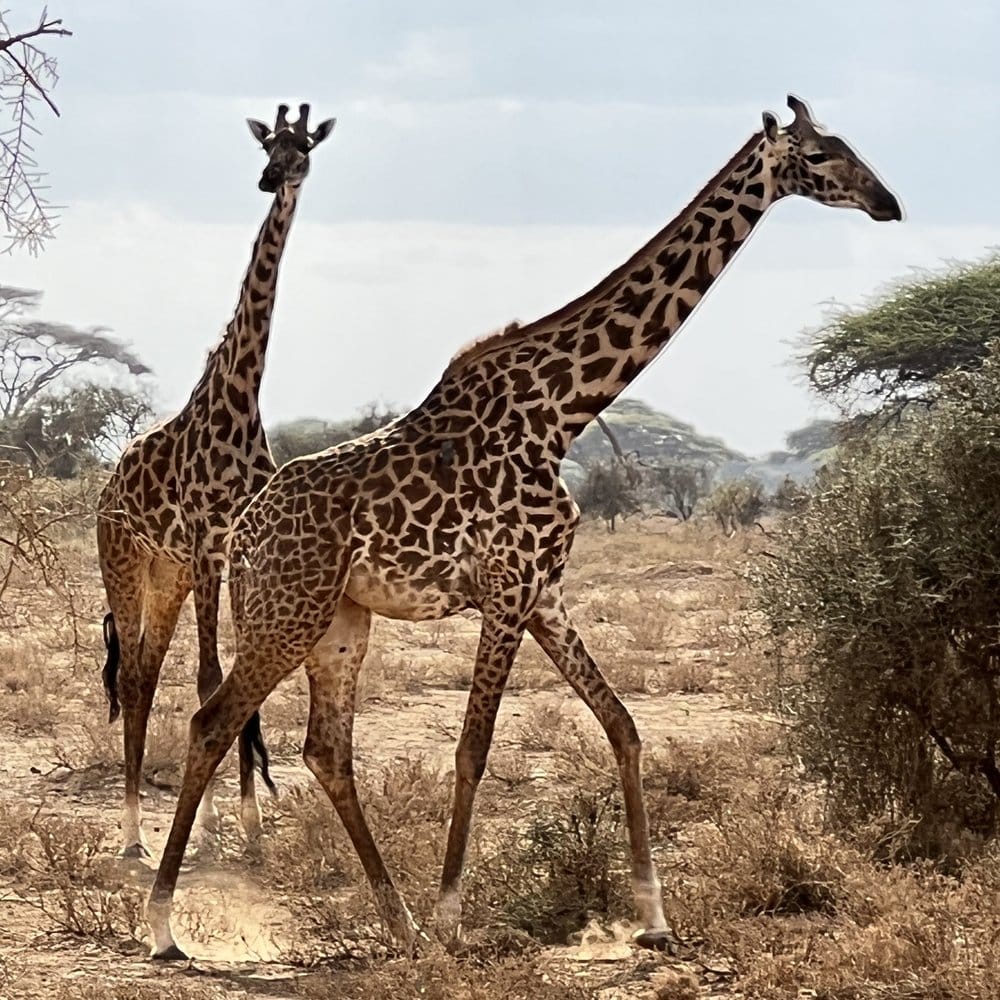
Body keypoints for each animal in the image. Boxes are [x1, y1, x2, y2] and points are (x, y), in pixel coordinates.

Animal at [97, 103, 335, 858]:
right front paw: (205, 828)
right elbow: (208, 678)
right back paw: (131, 833)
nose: (270, 180)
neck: (241, 392)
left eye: (302, 148)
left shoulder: (234, 547)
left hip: (167, 574)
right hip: (123, 561)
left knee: (145, 672)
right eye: (267, 147)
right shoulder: (207, 540)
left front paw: (250, 828)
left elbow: (231, 685)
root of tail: (105, 493)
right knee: (134, 677)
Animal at [147, 95, 901, 959]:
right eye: (819, 153)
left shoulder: (546, 592)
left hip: (340, 622)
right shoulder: (507, 589)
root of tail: (247, 526)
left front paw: (653, 918)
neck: (563, 412)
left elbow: (623, 726)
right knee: (212, 722)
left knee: (325, 750)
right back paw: (164, 924)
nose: (887, 202)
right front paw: (453, 919)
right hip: (286, 611)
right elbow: (473, 748)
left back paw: (398, 923)